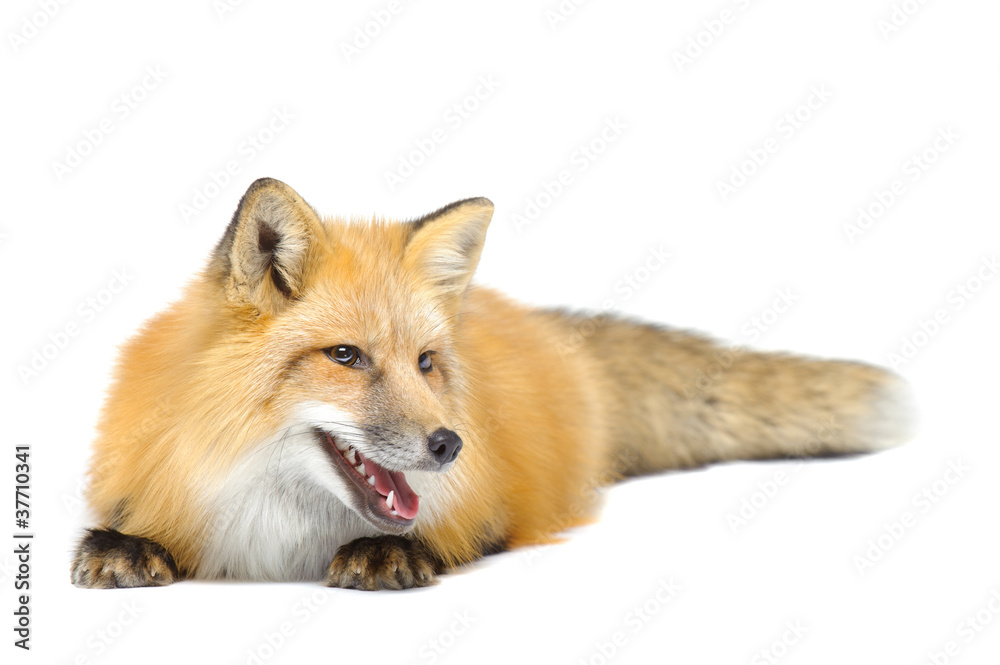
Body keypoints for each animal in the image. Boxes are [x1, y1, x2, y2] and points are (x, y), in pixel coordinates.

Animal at [71, 177, 916, 590]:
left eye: (424, 363)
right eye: (345, 356)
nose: (449, 443)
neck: (281, 529)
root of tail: (552, 334)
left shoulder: (492, 500)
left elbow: (454, 530)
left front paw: (390, 553)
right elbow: (125, 524)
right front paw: (122, 544)